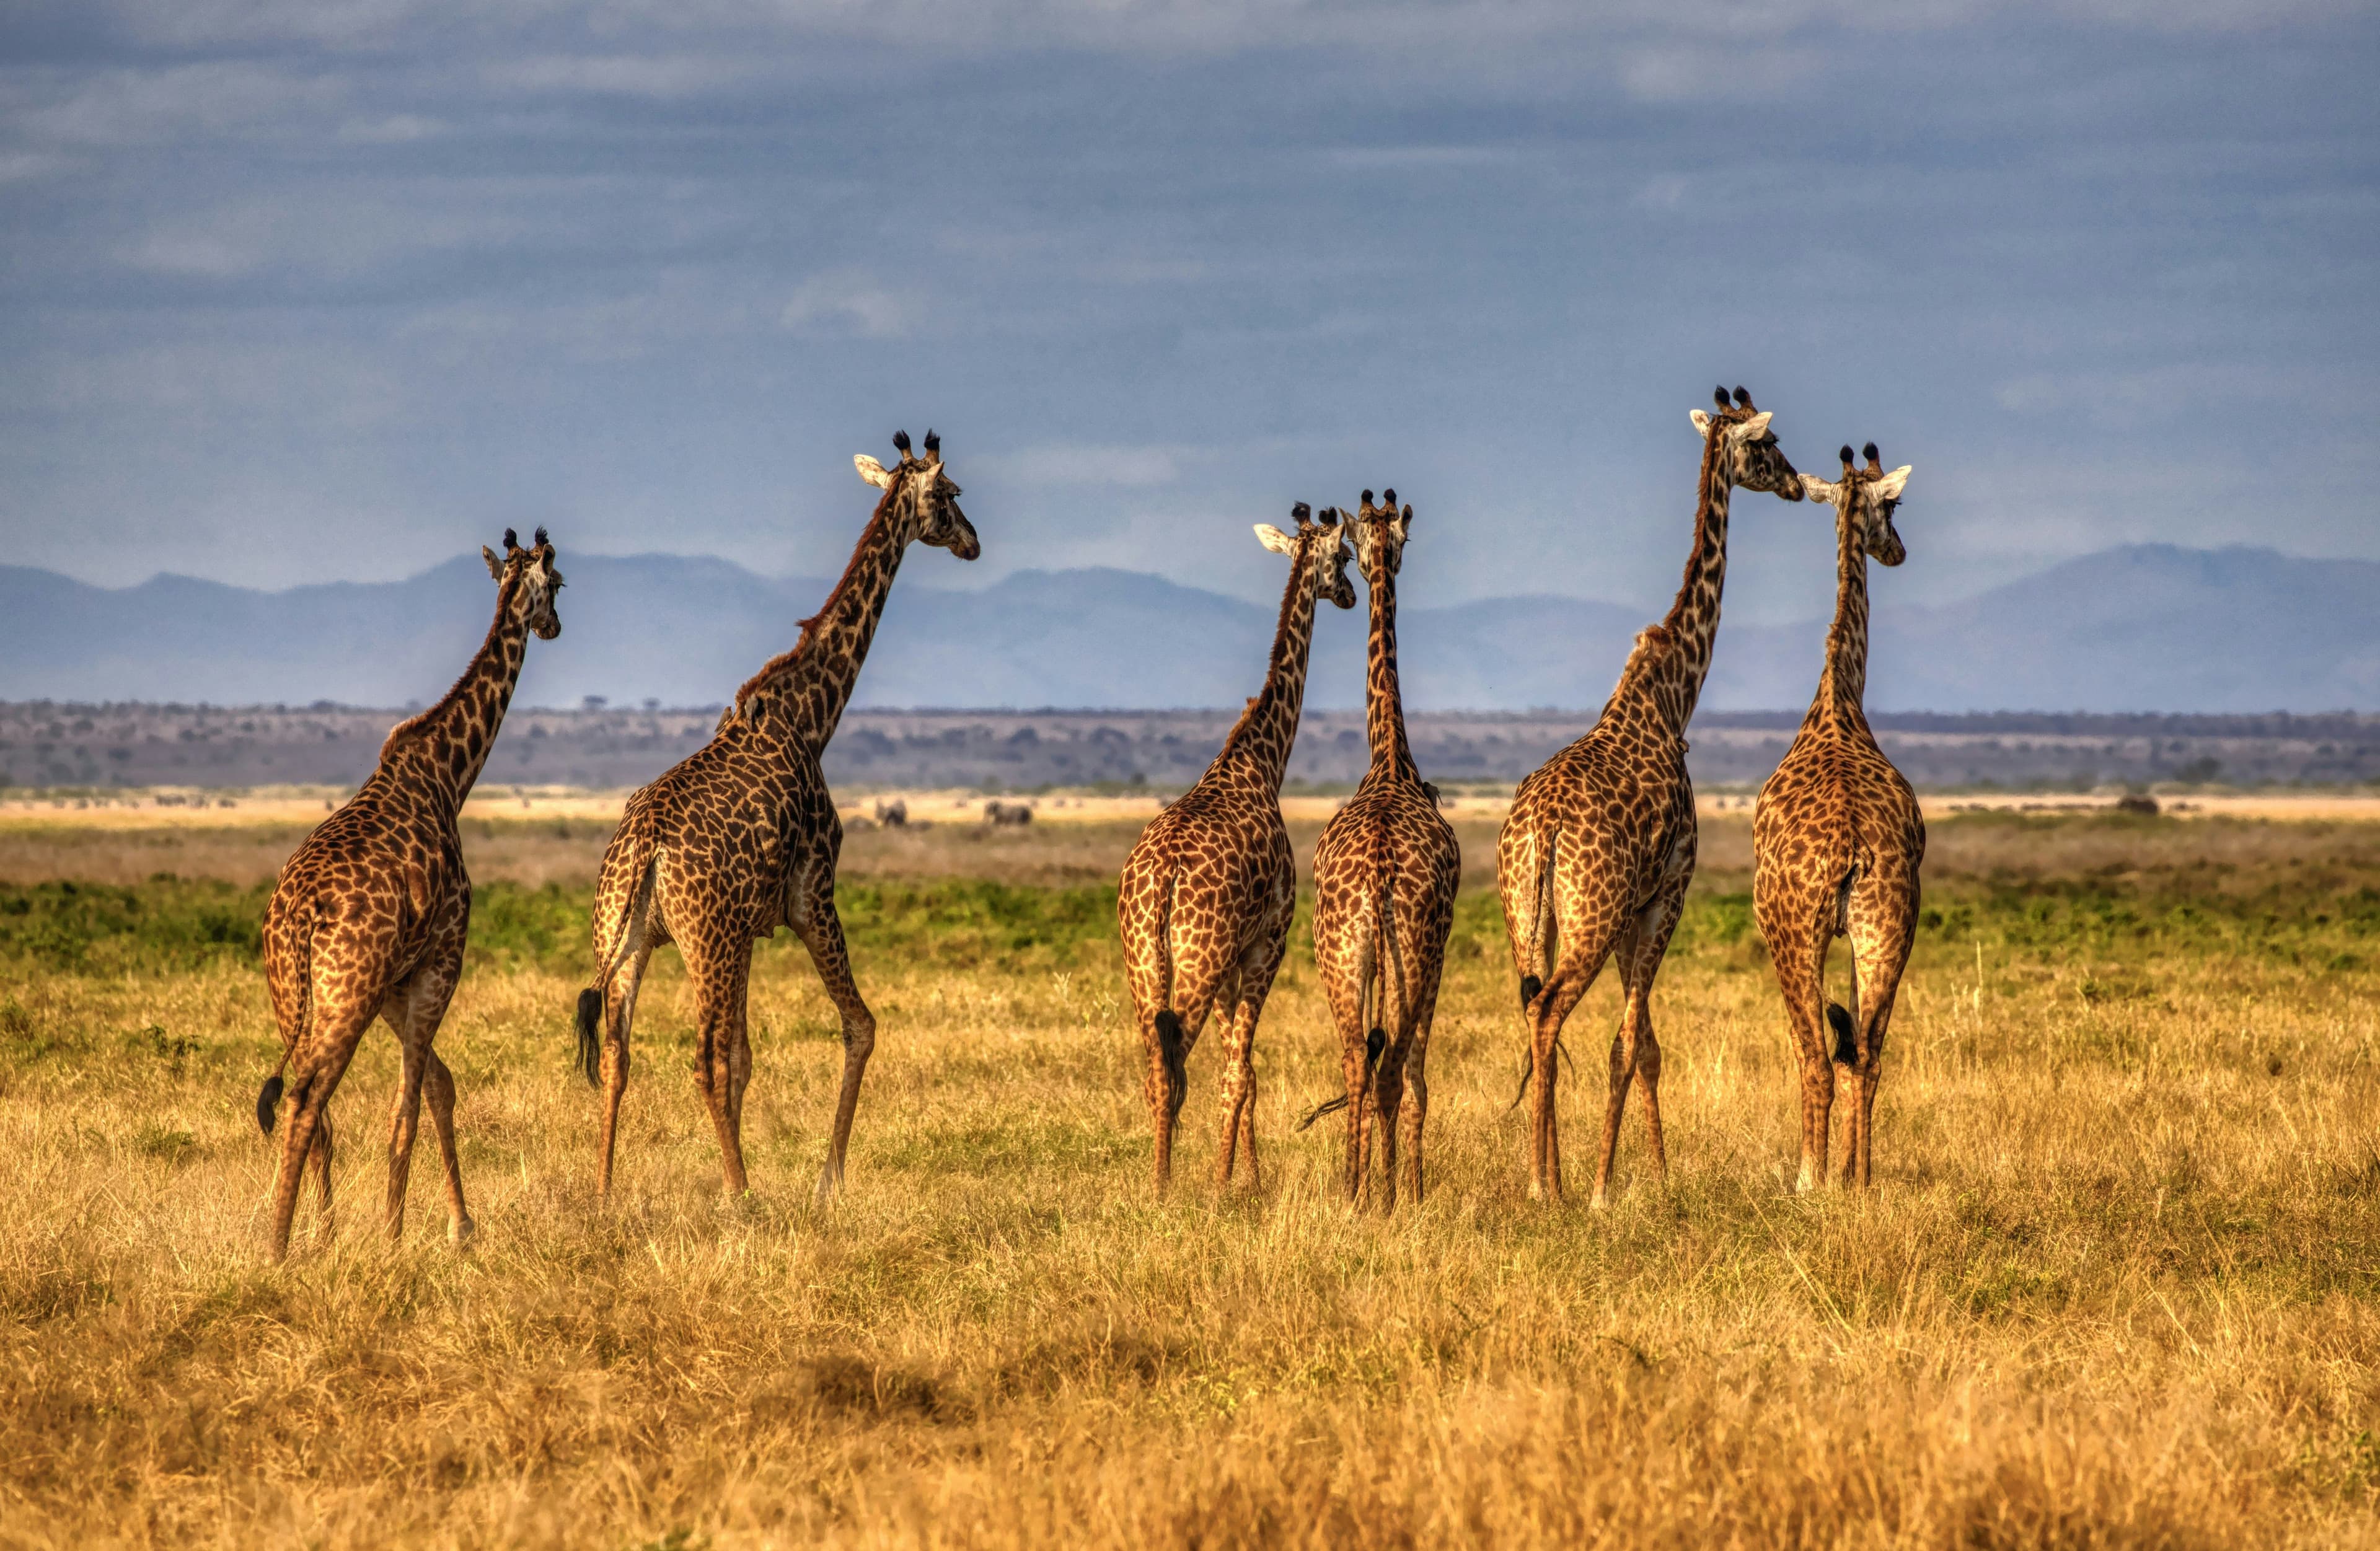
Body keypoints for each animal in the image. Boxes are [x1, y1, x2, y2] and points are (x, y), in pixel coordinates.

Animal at [253, 528, 564, 1261]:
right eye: (562, 584)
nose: (555, 626)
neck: (450, 775)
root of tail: (298, 916)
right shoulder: (442, 957)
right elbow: (409, 1109)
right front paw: (396, 1239)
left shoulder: (396, 981)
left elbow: (439, 1088)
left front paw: (457, 1225)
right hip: (345, 990)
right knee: (307, 1099)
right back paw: (279, 1247)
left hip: (293, 993)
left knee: (314, 1110)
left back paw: (317, 1233)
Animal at [577, 430, 978, 1206]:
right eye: (950, 496)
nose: (974, 542)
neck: (811, 717)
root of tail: (642, 850)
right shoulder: (810, 893)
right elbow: (859, 1026)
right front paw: (828, 1180)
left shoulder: (750, 927)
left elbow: (747, 1056)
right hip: (703, 942)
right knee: (699, 1058)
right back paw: (742, 1195)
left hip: (627, 939)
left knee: (618, 1054)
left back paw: (607, 1191)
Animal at [1117, 504, 1355, 1193]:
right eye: (1346, 557)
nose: (1351, 596)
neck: (1260, 761)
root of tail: (1162, 877)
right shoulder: (1266, 942)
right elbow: (1240, 1072)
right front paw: (1232, 1183)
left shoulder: (1231, 962)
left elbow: (1241, 1071)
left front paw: (1247, 1174)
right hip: (1196, 958)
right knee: (1177, 1064)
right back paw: (1168, 1186)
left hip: (1144, 963)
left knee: (1156, 1068)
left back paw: (1160, 1179)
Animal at [1497, 386, 1805, 1205]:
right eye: (1768, 446)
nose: (1799, 485)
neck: (1671, 697)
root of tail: (1540, 829)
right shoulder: (1669, 890)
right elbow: (1633, 1042)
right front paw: (1618, 1188)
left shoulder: (1635, 907)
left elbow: (1645, 1045)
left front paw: (1652, 1175)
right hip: (1592, 915)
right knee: (1550, 1012)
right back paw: (1549, 1187)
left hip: (1529, 916)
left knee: (1532, 1013)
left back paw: (1544, 1177)